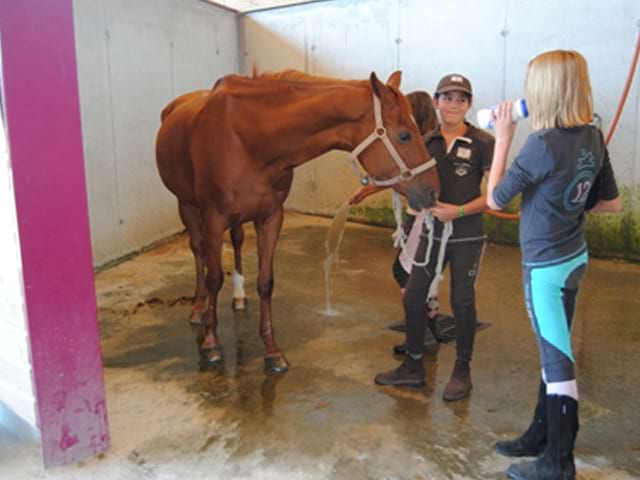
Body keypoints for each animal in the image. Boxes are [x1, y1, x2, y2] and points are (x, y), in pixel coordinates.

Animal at [158, 69, 442, 374]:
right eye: (404, 135)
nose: (433, 192)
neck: (248, 140)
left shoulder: (270, 216)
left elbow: (266, 282)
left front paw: (272, 351)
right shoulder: (213, 217)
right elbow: (213, 278)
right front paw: (210, 343)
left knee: (236, 241)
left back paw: (238, 296)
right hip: (187, 206)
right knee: (198, 251)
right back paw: (199, 308)